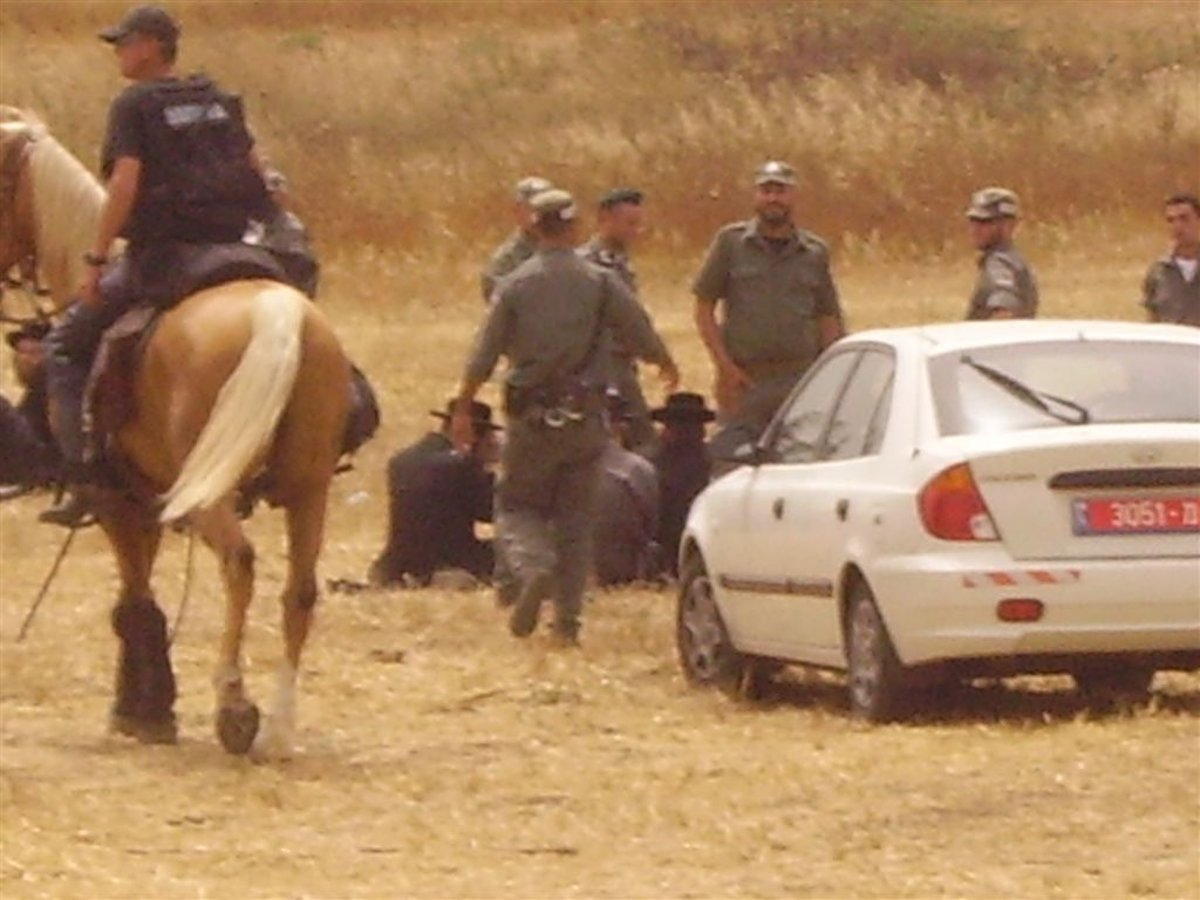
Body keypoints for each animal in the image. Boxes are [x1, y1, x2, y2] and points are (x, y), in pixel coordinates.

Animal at [0, 105, 350, 758]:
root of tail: (275, 314)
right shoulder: (148, 496)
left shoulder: (119, 500)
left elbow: (135, 599)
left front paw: (141, 710)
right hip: (308, 487)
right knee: (301, 590)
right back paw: (281, 726)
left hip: (211, 495)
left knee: (239, 561)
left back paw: (236, 707)